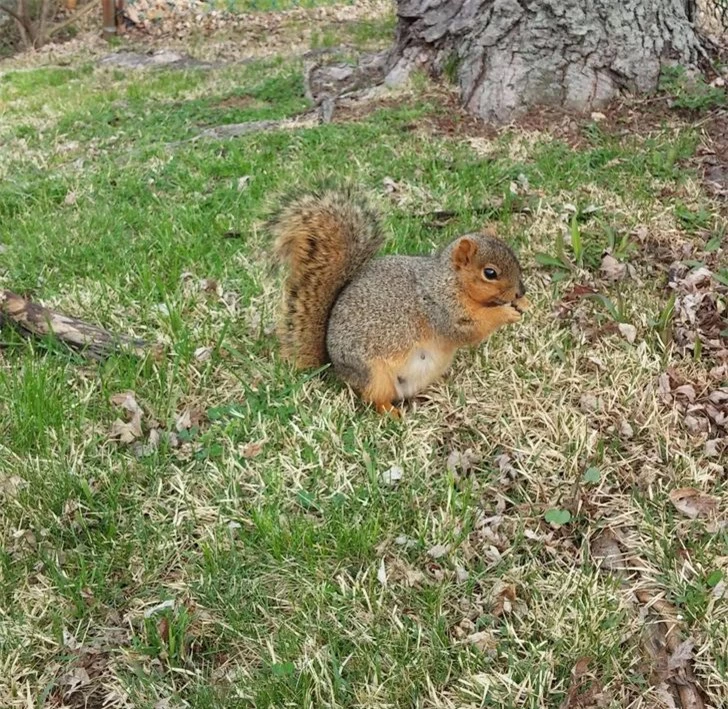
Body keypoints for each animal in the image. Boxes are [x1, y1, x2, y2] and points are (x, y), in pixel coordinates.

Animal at [268, 187, 528, 414]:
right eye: (490, 273)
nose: (520, 292)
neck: (449, 281)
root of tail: (335, 368)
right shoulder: (440, 308)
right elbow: (469, 329)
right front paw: (504, 314)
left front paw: (525, 304)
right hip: (374, 375)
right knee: (374, 399)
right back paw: (392, 414)